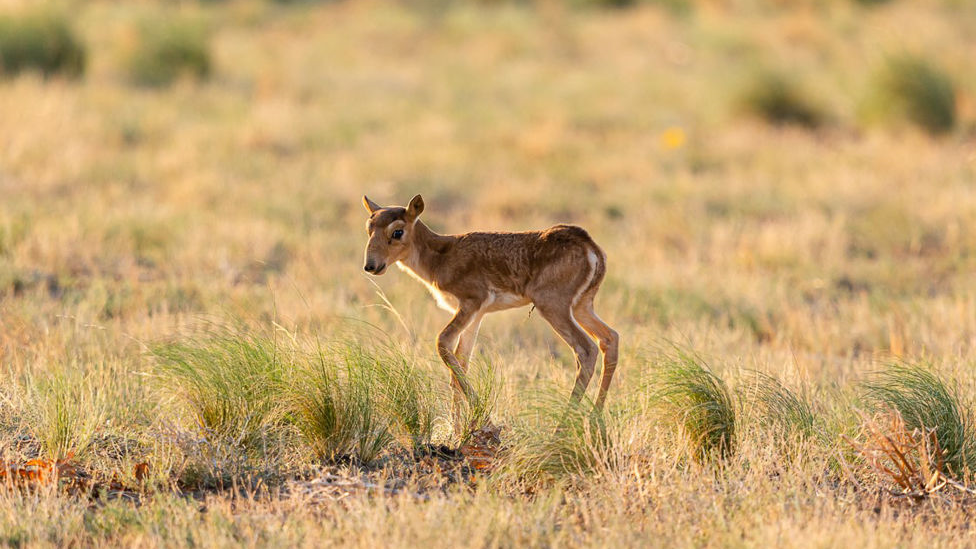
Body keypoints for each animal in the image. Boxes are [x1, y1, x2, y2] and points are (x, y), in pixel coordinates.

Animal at [362, 195, 620, 408]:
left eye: (397, 231)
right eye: (369, 228)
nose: (371, 266)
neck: (441, 254)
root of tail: (589, 245)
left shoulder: (471, 303)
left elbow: (442, 343)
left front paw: (481, 413)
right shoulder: (476, 315)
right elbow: (460, 365)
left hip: (554, 307)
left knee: (586, 350)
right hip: (581, 307)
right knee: (610, 338)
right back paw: (596, 419)